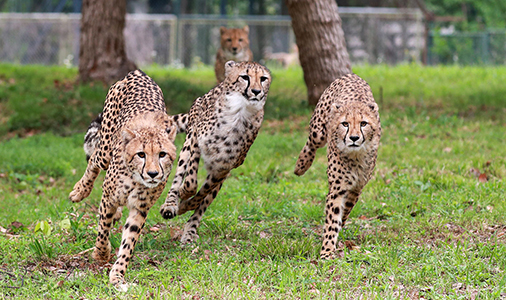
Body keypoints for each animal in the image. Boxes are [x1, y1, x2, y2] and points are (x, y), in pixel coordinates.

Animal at [68, 69, 177, 286]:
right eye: (141, 154)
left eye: (162, 154)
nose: (153, 174)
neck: (136, 179)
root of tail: (138, 72)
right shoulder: (108, 198)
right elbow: (103, 229)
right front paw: (101, 254)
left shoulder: (140, 209)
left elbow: (128, 242)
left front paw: (117, 274)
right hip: (105, 148)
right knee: (94, 159)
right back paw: (80, 190)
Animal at [161, 60, 272, 244]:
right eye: (244, 77)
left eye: (263, 79)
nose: (256, 91)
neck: (239, 112)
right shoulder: (196, 139)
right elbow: (190, 181)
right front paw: (182, 194)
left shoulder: (223, 168)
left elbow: (202, 195)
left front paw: (185, 206)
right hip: (188, 141)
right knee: (179, 174)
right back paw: (170, 204)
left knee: (203, 203)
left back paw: (189, 231)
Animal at [294, 73, 382, 260]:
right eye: (345, 124)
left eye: (363, 123)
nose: (354, 138)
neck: (355, 156)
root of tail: (352, 75)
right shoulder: (337, 189)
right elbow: (332, 218)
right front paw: (327, 251)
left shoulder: (356, 188)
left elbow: (343, 213)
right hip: (318, 131)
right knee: (311, 143)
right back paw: (300, 165)